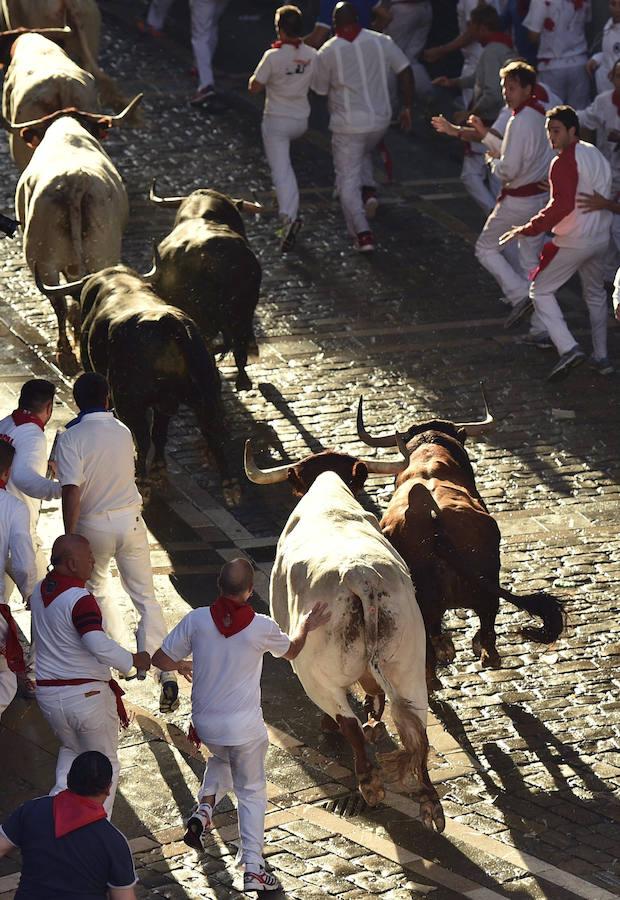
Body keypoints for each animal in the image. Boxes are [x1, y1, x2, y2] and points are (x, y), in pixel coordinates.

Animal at [272, 472, 446, 828]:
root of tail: (360, 575)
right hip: (408, 668)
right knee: (416, 729)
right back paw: (429, 802)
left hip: (316, 677)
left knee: (347, 721)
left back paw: (369, 782)